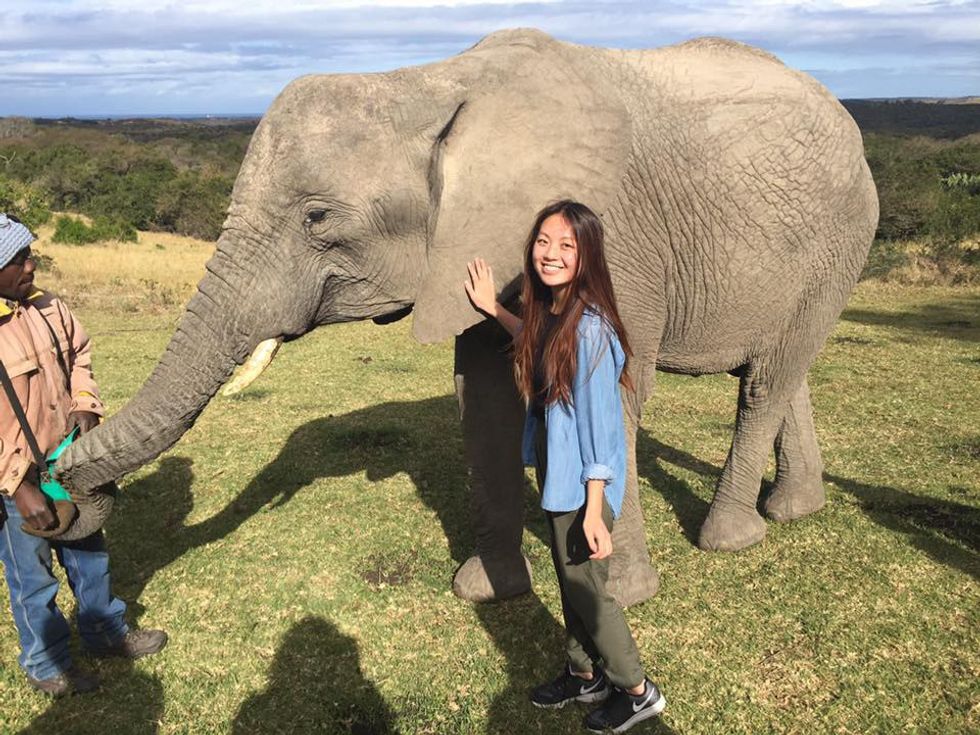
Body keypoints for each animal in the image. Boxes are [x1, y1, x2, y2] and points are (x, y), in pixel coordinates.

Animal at [55, 29, 878, 608]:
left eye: (318, 219)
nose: (74, 501)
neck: (428, 82)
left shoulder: (615, 237)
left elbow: (612, 392)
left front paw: (621, 593)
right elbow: (480, 397)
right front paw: (488, 590)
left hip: (845, 233)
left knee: (765, 381)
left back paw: (727, 538)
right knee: (784, 370)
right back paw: (794, 510)